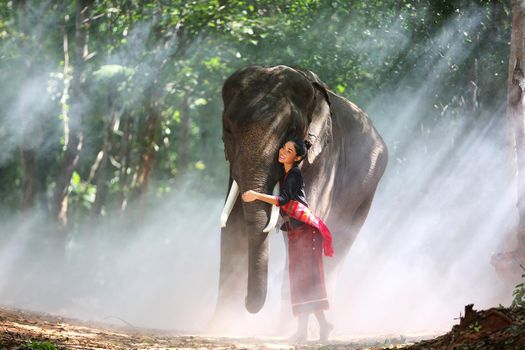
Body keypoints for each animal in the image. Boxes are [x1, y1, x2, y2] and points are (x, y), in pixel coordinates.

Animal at [212, 64, 384, 326]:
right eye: (228, 130)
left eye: (291, 131)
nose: (246, 303)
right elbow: (234, 223)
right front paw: (221, 324)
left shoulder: (325, 158)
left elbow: (304, 217)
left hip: (367, 188)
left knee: (340, 239)